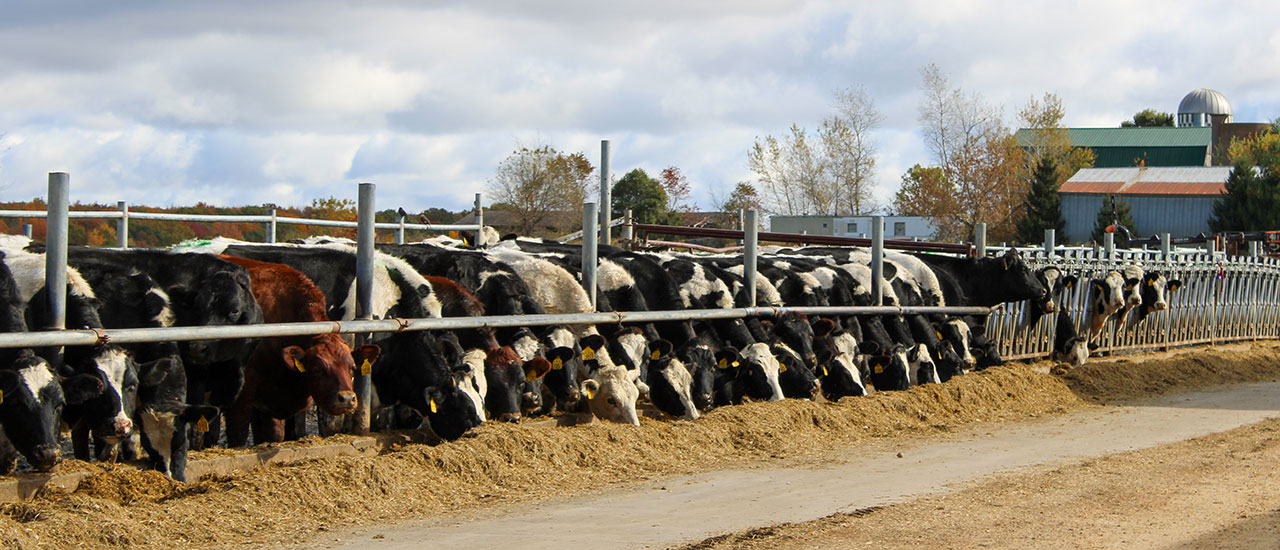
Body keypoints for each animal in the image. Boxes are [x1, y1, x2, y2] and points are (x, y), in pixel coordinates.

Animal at [217, 254, 363, 447]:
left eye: (352, 368)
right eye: (317, 369)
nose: (346, 399)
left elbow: (275, 435)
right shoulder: (242, 396)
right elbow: (238, 435)